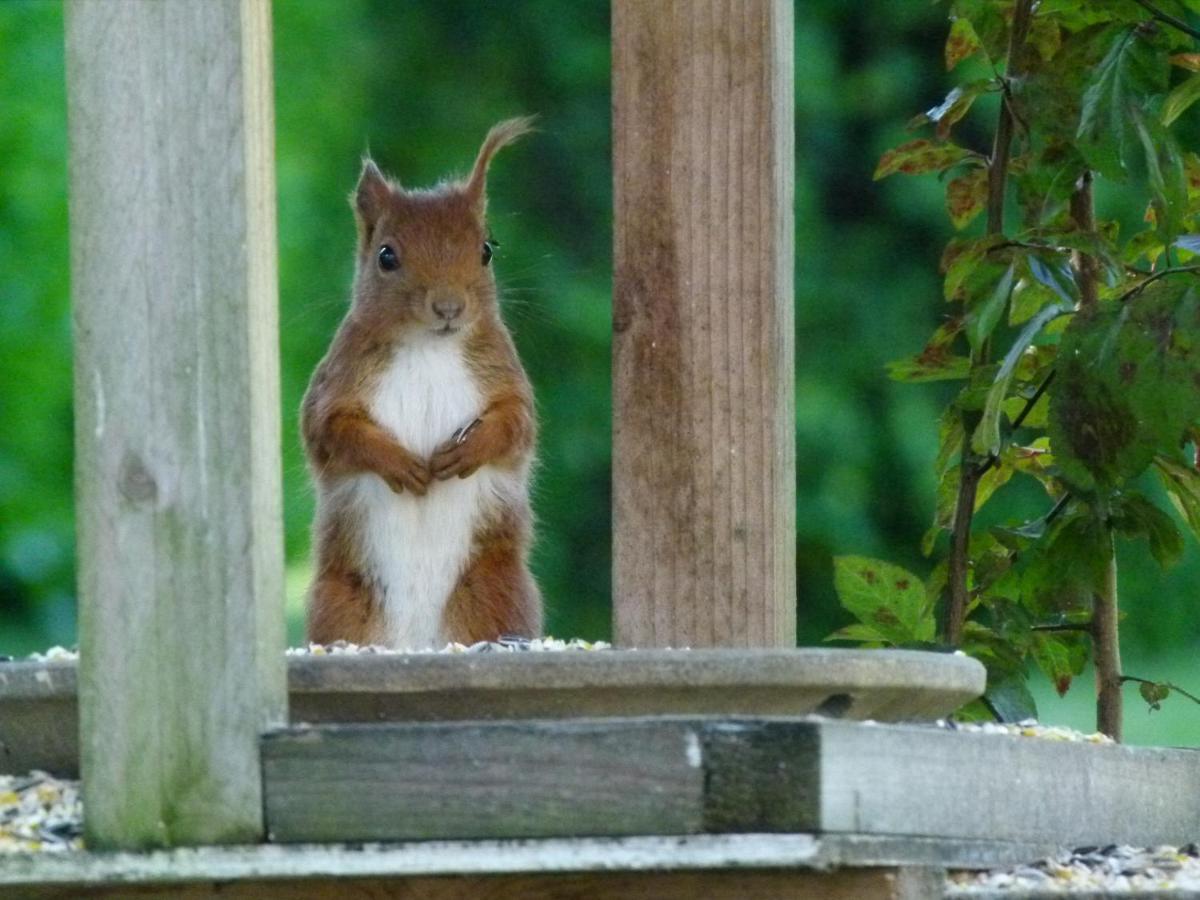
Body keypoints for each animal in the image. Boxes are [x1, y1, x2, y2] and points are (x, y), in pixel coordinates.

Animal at [302, 118, 542, 648]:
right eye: (386, 256)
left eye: (487, 250)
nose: (448, 307)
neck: (428, 347)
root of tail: (417, 642)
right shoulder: (336, 383)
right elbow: (329, 430)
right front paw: (397, 462)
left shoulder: (504, 375)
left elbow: (517, 426)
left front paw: (470, 451)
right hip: (341, 601)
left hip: (496, 590)